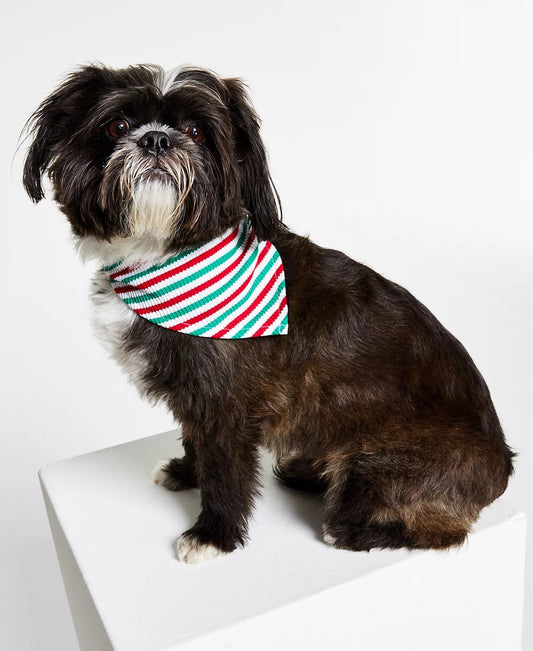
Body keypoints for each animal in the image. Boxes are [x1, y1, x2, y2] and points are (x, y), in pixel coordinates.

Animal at [22, 63, 512, 564]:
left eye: (196, 132)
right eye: (117, 126)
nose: (156, 139)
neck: (161, 257)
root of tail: (502, 466)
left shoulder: (227, 408)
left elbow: (224, 471)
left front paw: (213, 533)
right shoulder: (195, 398)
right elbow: (194, 439)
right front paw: (186, 472)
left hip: (382, 463)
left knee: (442, 532)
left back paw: (353, 529)